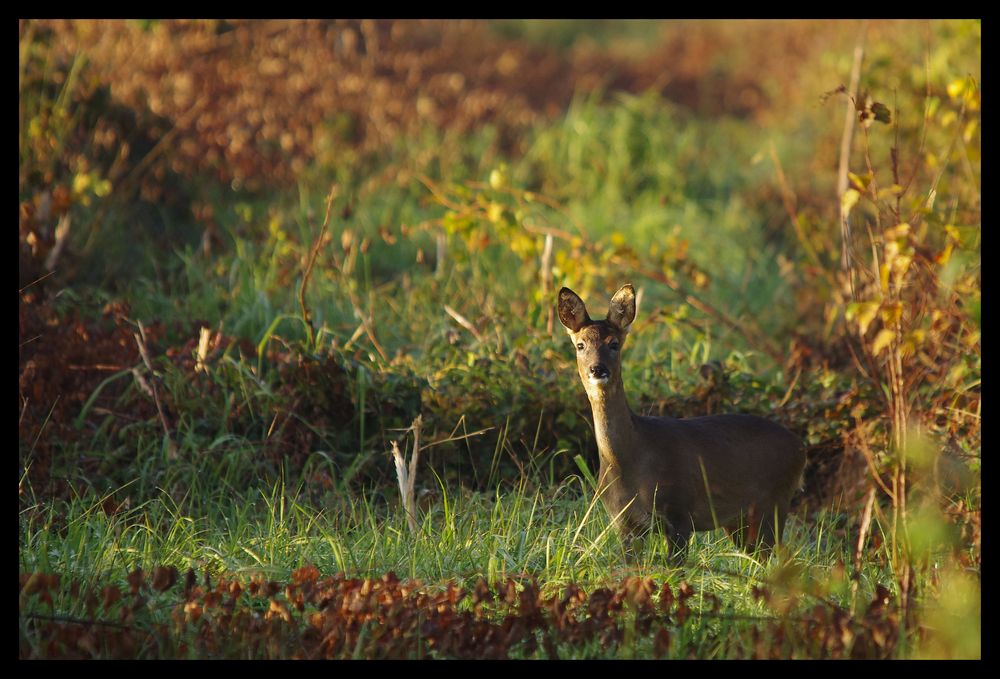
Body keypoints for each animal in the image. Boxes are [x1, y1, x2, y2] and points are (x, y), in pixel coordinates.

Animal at [560, 282, 808, 564]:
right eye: (580, 345)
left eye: (614, 344)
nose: (597, 369)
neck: (630, 460)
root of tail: (801, 447)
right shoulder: (625, 524)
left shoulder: (680, 513)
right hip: (740, 520)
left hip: (774, 501)